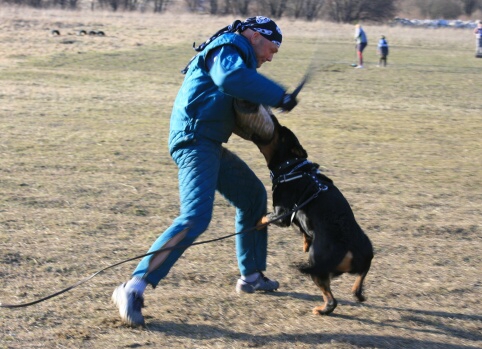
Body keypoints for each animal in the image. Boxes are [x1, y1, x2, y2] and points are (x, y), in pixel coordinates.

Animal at [254, 115, 374, 314]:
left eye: (280, 131)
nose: (273, 117)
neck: (292, 168)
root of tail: (350, 248)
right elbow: (303, 231)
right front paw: (305, 241)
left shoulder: (282, 214)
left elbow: (263, 217)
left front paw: (255, 224)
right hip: (367, 249)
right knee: (363, 273)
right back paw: (357, 293)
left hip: (317, 265)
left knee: (332, 300)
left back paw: (322, 309)